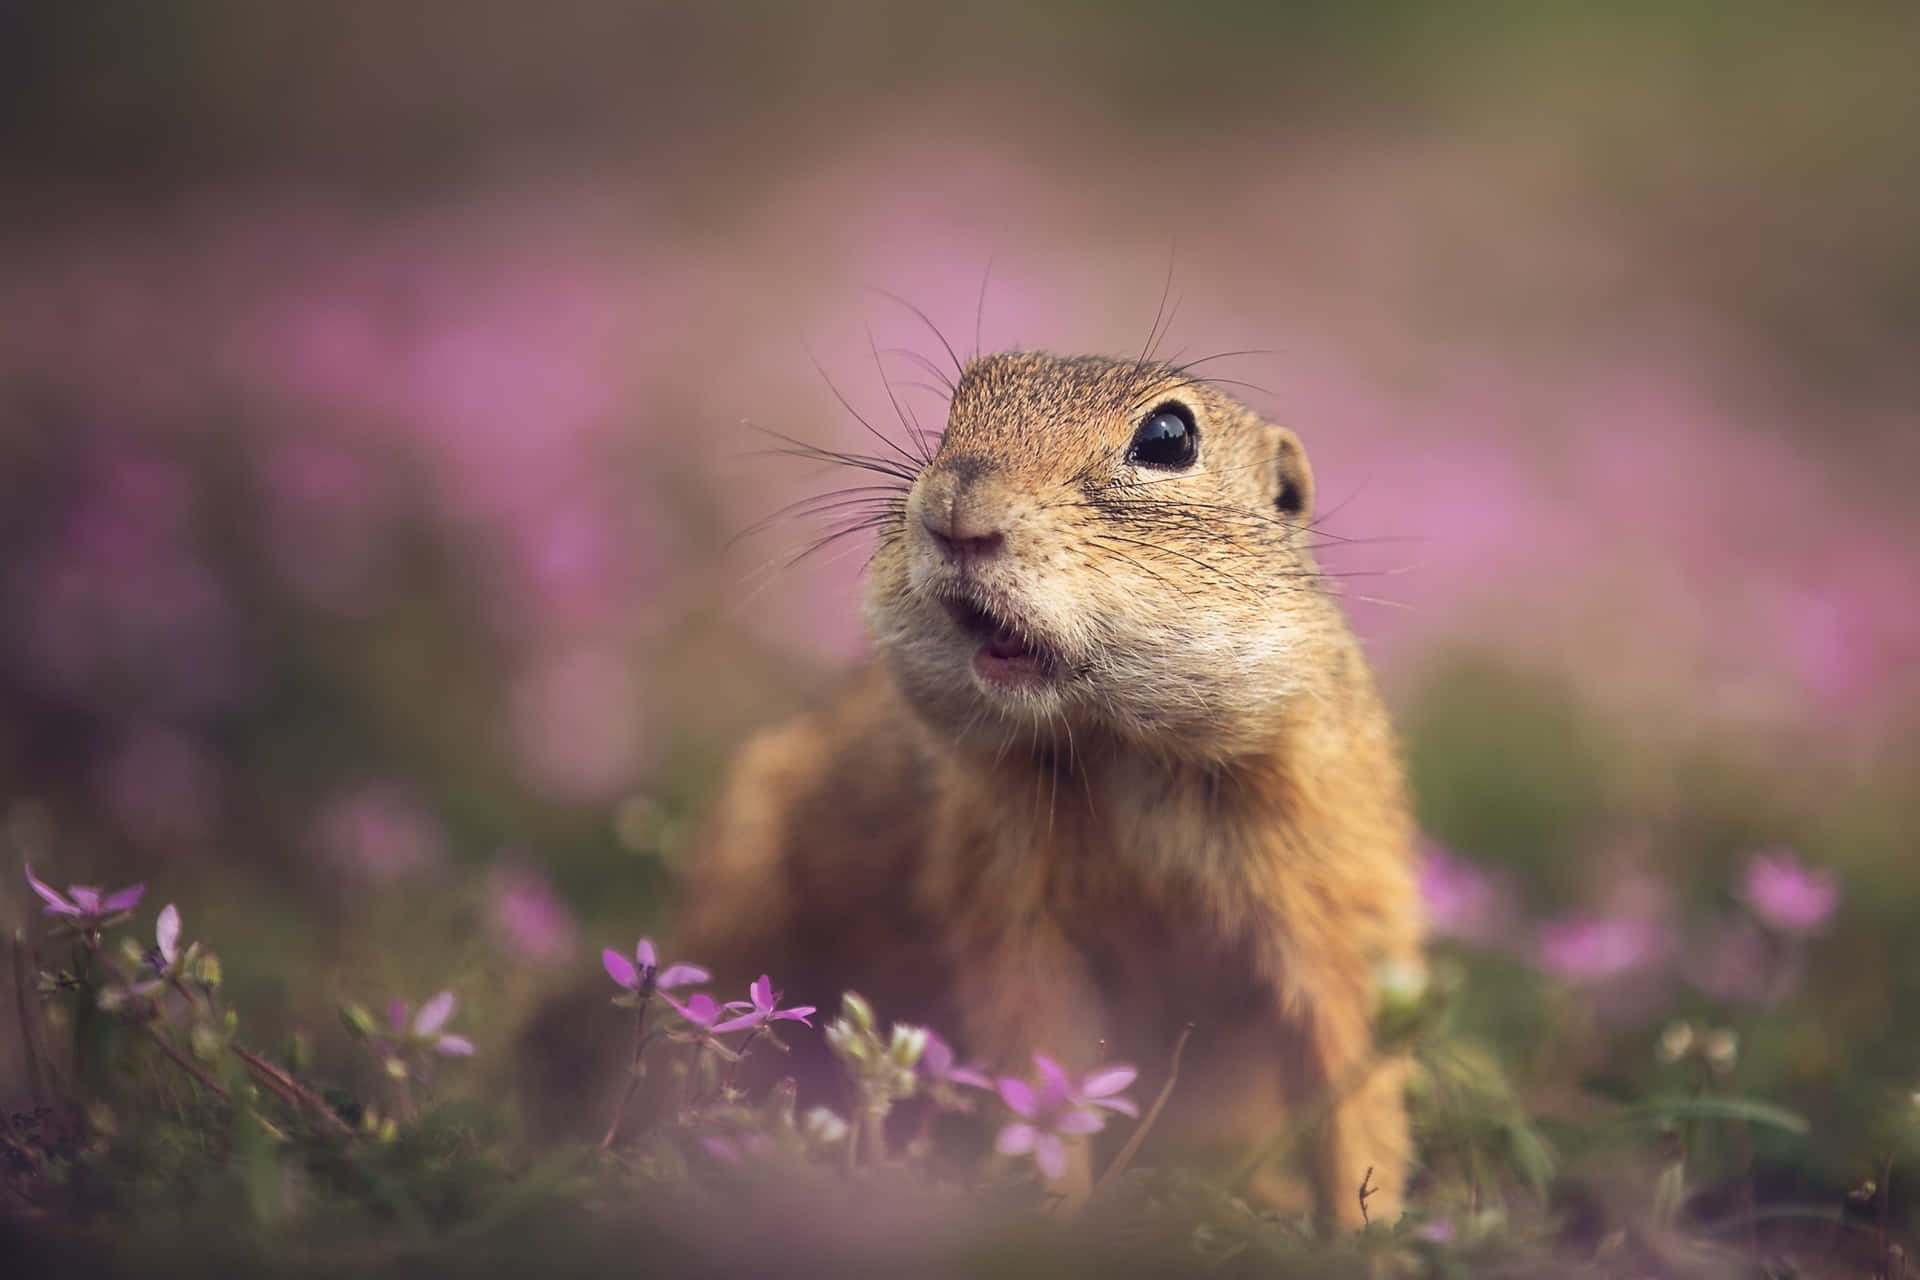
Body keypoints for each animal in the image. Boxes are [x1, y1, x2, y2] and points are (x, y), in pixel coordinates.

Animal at [668, 347, 1420, 1220]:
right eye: (957, 407)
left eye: (1169, 436)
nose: (954, 506)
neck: (1117, 748)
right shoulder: (1005, 898)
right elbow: (1040, 1060)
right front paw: (1051, 1211)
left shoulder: (1331, 895)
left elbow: (1350, 1084)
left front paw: (1371, 1229)